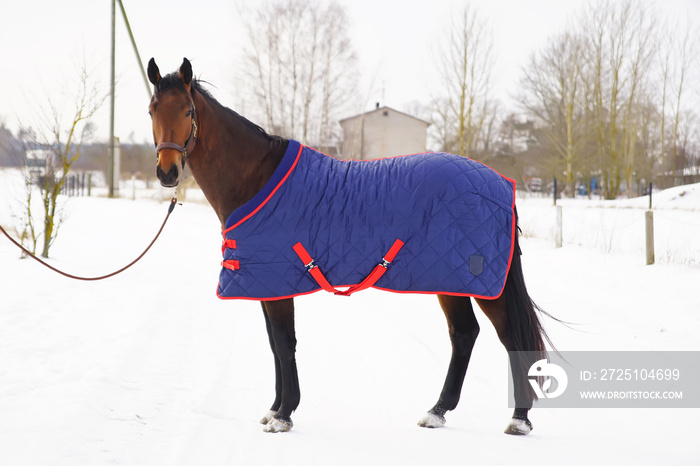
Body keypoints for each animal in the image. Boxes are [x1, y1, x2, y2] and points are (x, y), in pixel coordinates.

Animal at [148, 57, 552, 434]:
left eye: (187, 110)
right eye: (152, 110)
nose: (167, 172)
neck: (257, 179)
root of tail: (500, 183)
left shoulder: (276, 282)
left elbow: (284, 343)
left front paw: (284, 415)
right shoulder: (265, 283)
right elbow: (275, 345)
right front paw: (274, 409)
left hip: (480, 284)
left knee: (509, 338)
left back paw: (519, 420)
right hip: (449, 281)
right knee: (464, 334)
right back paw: (437, 412)